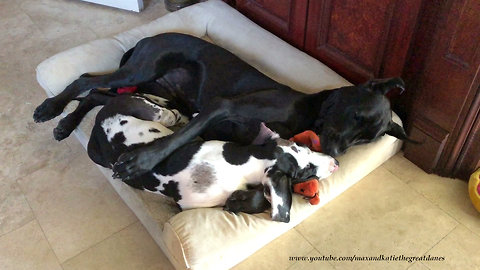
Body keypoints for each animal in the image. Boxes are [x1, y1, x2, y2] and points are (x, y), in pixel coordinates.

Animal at [34, 32, 412, 179]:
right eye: (356, 115)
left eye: (366, 140)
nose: (334, 152)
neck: (307, 110)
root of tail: (149, 37)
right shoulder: (220, 106)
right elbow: (180, 136)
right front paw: (141, 161)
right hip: (143, 69)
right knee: (85, 80)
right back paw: (50, 109)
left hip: (152, 88)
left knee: (97, 95)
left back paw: (66, 124)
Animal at [60, 90, 338, 221]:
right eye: (305, 172)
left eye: (305, 148)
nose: (335, 163)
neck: (242, 164)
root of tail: (98, 123)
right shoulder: (189, 204)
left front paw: (238, 202)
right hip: (149, 111)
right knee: (166, 112)